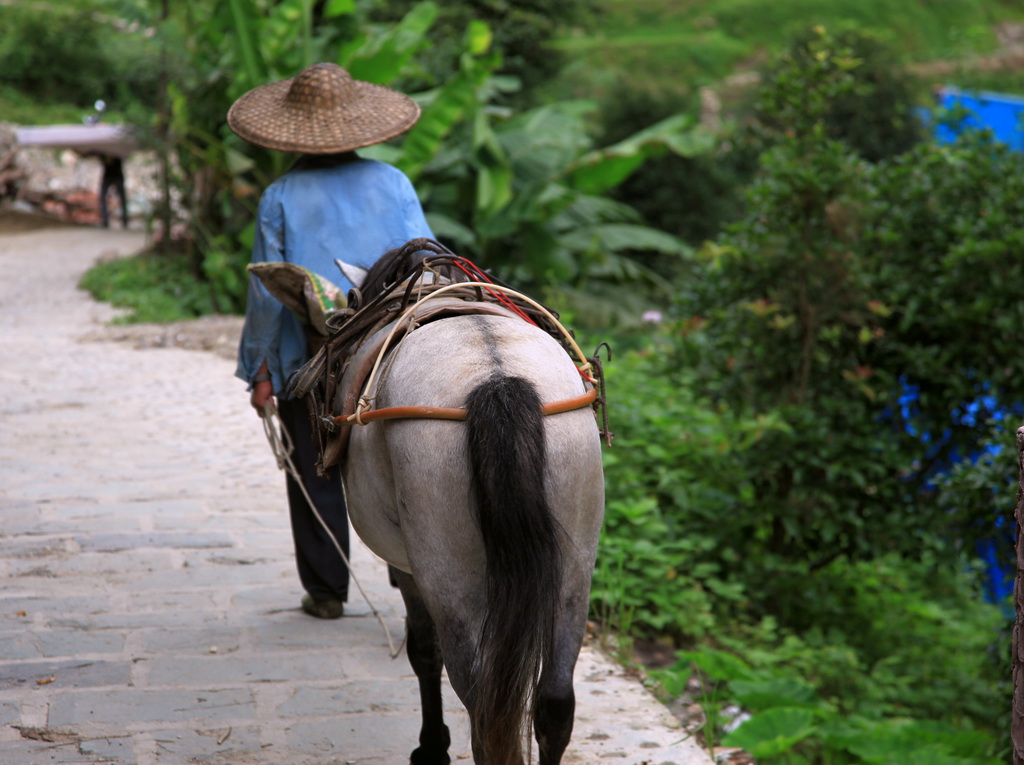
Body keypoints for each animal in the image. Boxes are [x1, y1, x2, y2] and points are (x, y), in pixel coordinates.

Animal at [331, 248, 602, 761]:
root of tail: (496, 379)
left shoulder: (411, 568)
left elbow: (423, 650)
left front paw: (432, 745)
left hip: (449, 578)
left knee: (481, 708)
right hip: (574, 571)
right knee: (555, 703)